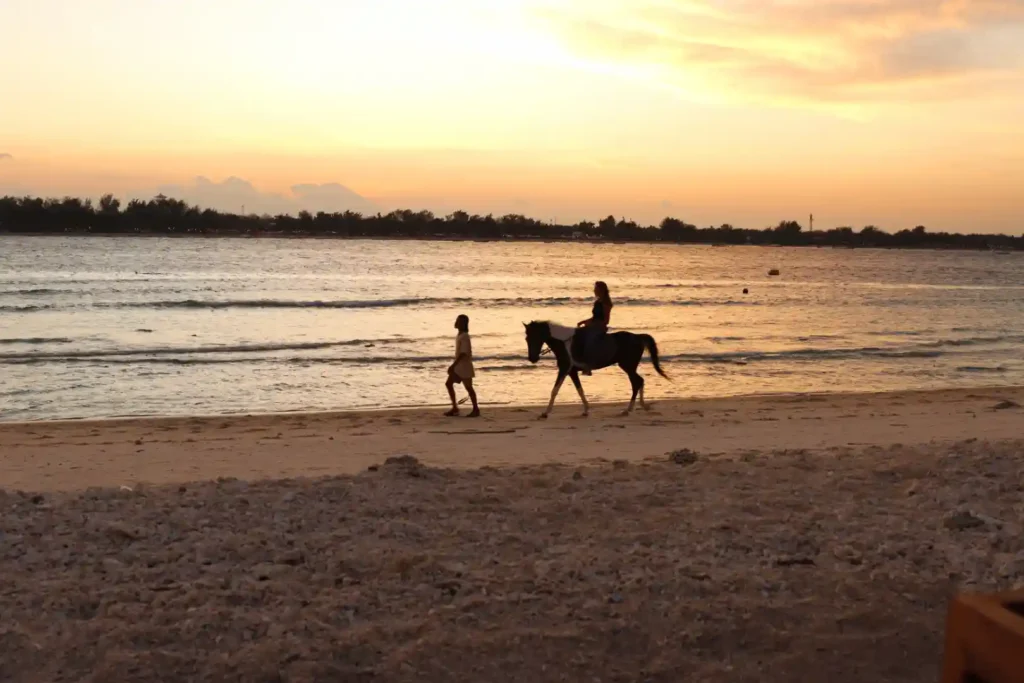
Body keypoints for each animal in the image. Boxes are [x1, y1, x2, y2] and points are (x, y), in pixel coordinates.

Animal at [524, 323, 667, 419]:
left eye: (534, 337)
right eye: (527, 338)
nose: (532, 358)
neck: (564, 344)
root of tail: (638, 337)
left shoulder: (564, 369)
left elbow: (555, 390)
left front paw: (545, 413)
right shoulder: (572, 372)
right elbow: (580, 390)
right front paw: (586, 410)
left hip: (628, 366)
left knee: (636, 383)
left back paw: (628, 409)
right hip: (629, 366)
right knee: (639, 381)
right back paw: (641, 406)